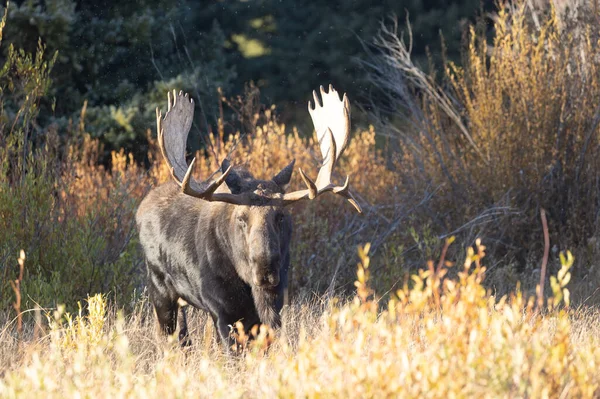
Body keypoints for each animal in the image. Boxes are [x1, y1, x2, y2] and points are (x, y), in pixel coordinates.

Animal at [136, 85, 360, 350]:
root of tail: (142, 207)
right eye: (241, 218)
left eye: (281, 216)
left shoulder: (272, 307)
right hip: (160, 289)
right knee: (168, 335)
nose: (266, 268)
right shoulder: (222, 311)